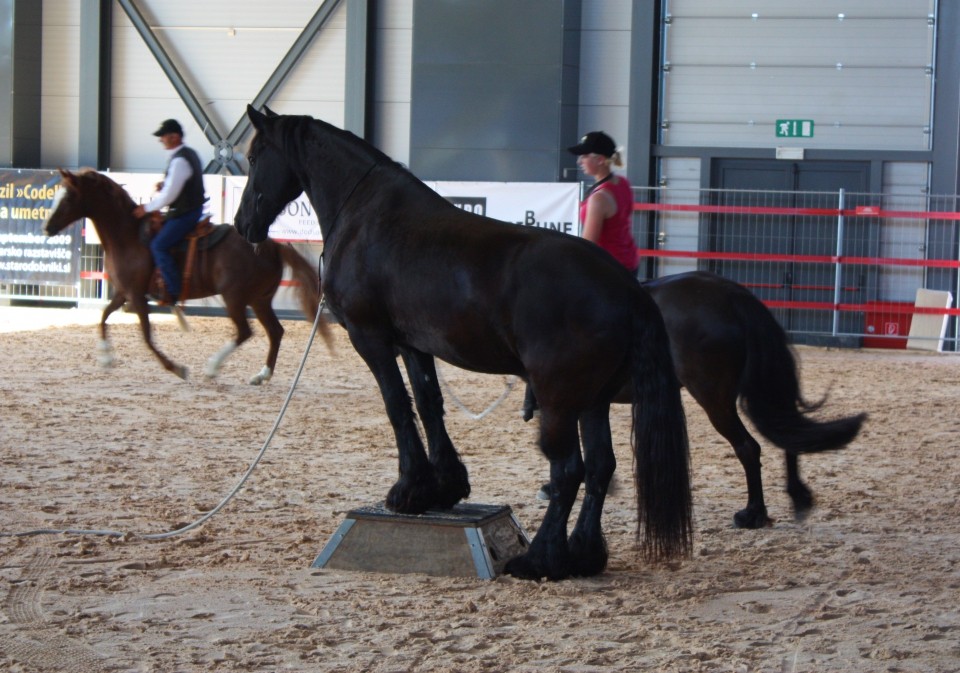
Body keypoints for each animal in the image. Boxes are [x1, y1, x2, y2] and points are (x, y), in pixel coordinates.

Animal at [43, 168, 328, 384]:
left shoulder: (137, 296)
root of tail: (272, 246)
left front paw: (176, 368)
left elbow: (146, 336)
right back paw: (262, 375)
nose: (47, 227)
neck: (128, 235)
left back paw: (213, 367)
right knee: (275, 332)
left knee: (245, 331)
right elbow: (103, 317)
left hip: (235, 297)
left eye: (68, 197)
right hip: (260, 300)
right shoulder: (124, 292)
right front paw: (105, 357)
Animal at [234, 107, 688, 580]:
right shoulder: (413, 344)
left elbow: (397, 406)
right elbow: (429, 404)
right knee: (600, 468)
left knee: (567, 471)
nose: (242, 224)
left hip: (559, 400)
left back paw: (539, 559)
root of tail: (627, 288)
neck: (365, 216)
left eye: (254, 156)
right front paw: (444, 487)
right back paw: (583, 555)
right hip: (592, 401)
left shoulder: (370, 336)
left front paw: (408, 489)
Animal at [524, 270, 872, 528]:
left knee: (750, 447)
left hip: (714, 398)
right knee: (787, 433)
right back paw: (794, 498)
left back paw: (753, 514)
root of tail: (732, 296)